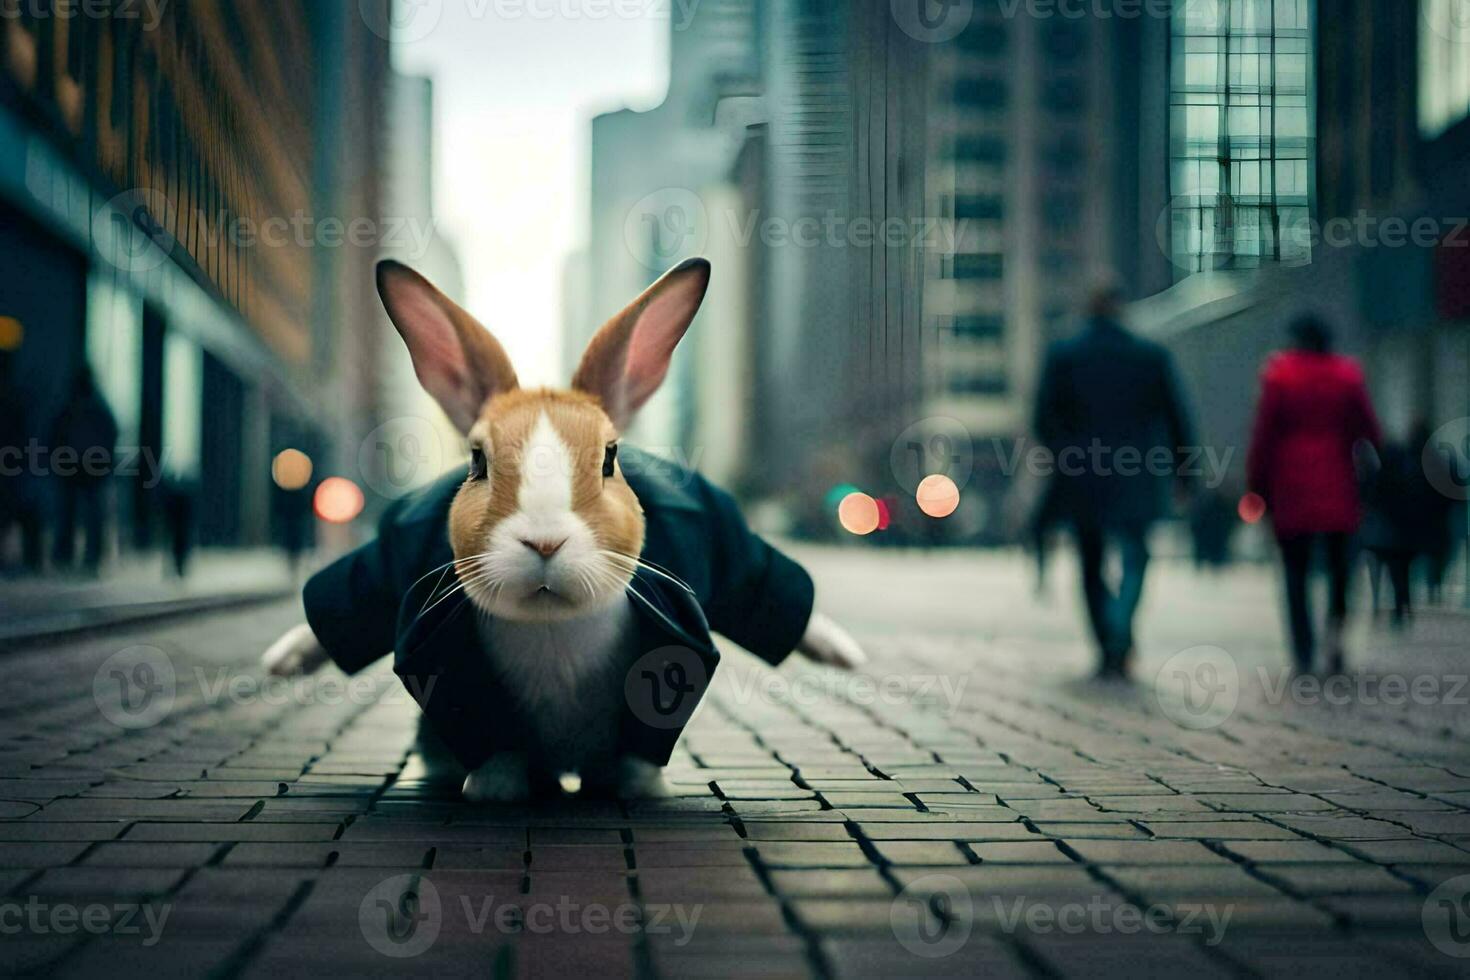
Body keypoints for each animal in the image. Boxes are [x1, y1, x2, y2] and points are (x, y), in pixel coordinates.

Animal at [260, 257, 864, 799]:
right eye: (476, 461)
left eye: (610, 458)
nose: (545, 540)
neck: (551, 624)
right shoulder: (398, 551)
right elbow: (360, 592)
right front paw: (282, 662)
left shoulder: (712, 530)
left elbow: (755, 579)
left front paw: (844, 655)